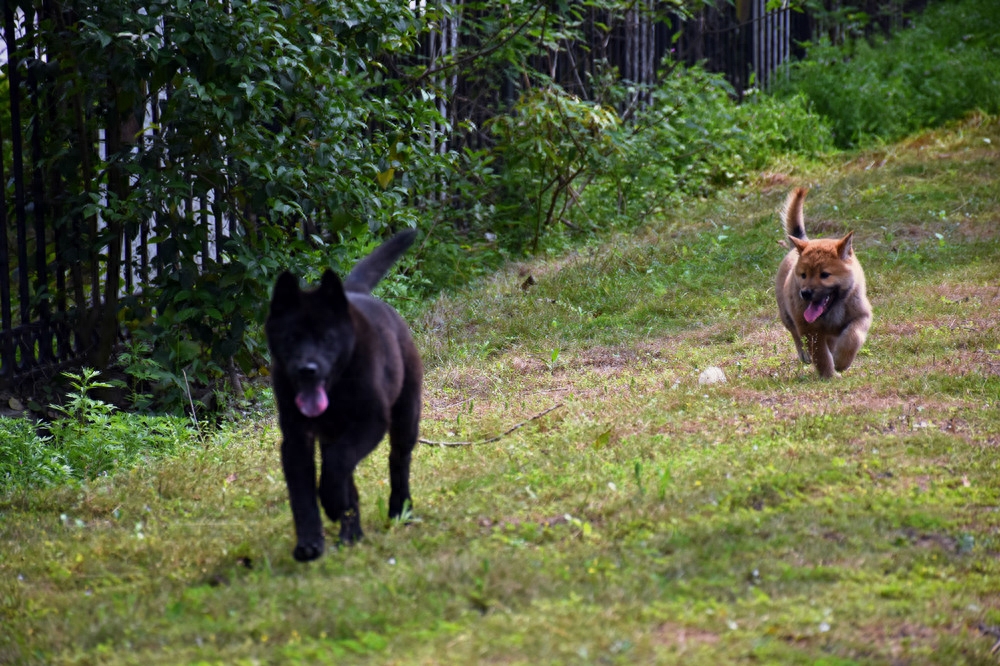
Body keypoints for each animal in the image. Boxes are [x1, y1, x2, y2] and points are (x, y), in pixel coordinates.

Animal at [264, 230, 420, 560]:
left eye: (327, 338)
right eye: (291, 337)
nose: (307, 370)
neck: (336, 388)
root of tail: (353, 293)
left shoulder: (371, 421)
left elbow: (336, 465)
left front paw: (333, 505)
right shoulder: (296, 439)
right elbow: (303, 493)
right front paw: (310, 543)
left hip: (406, 414)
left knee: (398, 460)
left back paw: (399, 511)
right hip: (332, 433)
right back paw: (352, 534)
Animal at [776, 187, 872, 376]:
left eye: (825, 274)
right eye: (803, 275)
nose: (805, 293)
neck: (832, 310)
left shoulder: (862, 315)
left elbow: (853, 337)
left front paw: (841, 361)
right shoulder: (810, 330)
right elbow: (821, 356)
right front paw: (829, 375)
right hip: (787, 316)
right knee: (795, 334)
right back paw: (804, 354)